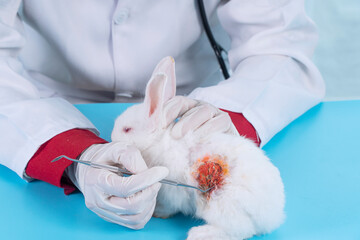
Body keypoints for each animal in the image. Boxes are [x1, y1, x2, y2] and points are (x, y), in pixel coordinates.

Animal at [111, 57, 286, 239]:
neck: (159, 141)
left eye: (127, 129)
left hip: (219, 205)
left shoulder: (171, 191)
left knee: (240, 230)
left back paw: (200, 233)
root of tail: (272, 217)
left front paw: (158, 212)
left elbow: (169, 206)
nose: (112, 137)